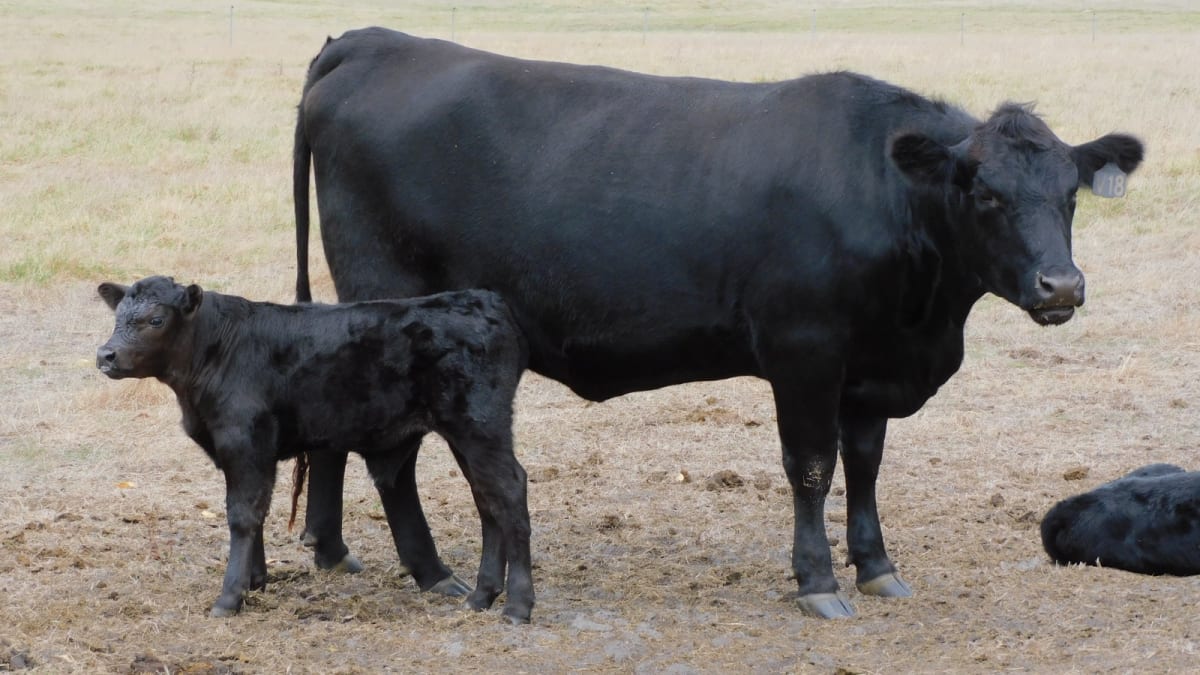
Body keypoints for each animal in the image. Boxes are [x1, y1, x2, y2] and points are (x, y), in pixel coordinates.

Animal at [95, 276, 534, 623]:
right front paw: (255, 581)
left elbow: (242, 515)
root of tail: (481, 299)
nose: (105, 354)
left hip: (480, 425)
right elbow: (257, 512)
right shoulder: (249, 453)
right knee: (488, 500)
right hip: (467, 434)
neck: (217, 349)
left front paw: (230, 596)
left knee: (509, 490)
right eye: (117, 317)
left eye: (156, 320)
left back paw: (518, 605)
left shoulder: (244, 443)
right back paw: (482, 596)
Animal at [291, 27, 1144, 618]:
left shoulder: (869, 367)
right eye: (986, 195)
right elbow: (813, 466)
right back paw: (432, 572)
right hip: (393, 309)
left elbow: (866, 466)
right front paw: (818, 581)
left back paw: (332, 548)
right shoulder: (804, 350)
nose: (1061, 285)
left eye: (1068, 194)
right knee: (390, 453)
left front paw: (877, 567)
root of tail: (374, 41)